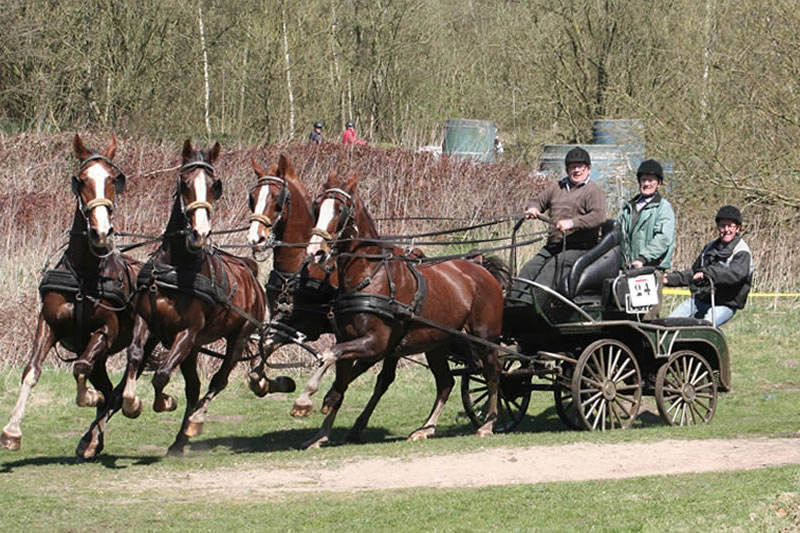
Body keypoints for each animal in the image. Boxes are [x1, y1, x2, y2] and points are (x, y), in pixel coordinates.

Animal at [1, 134, 141, 454]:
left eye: (114, 179)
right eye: (81, 180)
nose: (101, 233)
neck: (83, 277)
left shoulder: (106, 332)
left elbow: (80, 367)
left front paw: (88, 397)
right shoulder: (48, 324)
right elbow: (32, 371)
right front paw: (12, 431)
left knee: (118, 390)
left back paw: (98, 430)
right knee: (109, 389)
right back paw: (92, 438)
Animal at [83, 138, 268, 458]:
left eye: (215, 185)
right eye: (184, 182)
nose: (200, 232)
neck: (178, 270)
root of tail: (249, 270)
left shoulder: (188, 332)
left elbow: (161, 376)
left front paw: (163, 401)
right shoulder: (147, 323)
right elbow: (134, 358)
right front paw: (130, 403)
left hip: (238, 337)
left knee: (217, 381)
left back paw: (194, 422)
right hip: (193, 349)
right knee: (194, 387)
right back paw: (179, 440)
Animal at [304, 172, 504, 446]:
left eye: (341, 210)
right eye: (316, 206)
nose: (316, 252)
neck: (370, 276)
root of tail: (482, 270)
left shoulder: (375, 344)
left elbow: (329, 355)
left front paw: (304, 399)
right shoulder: (349, 339)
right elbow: (339, 383)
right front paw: (321, 434)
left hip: (485, 338)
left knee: (493, 374)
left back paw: (489, 423)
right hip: (437, 344)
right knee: (446, 382)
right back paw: (426, 428)